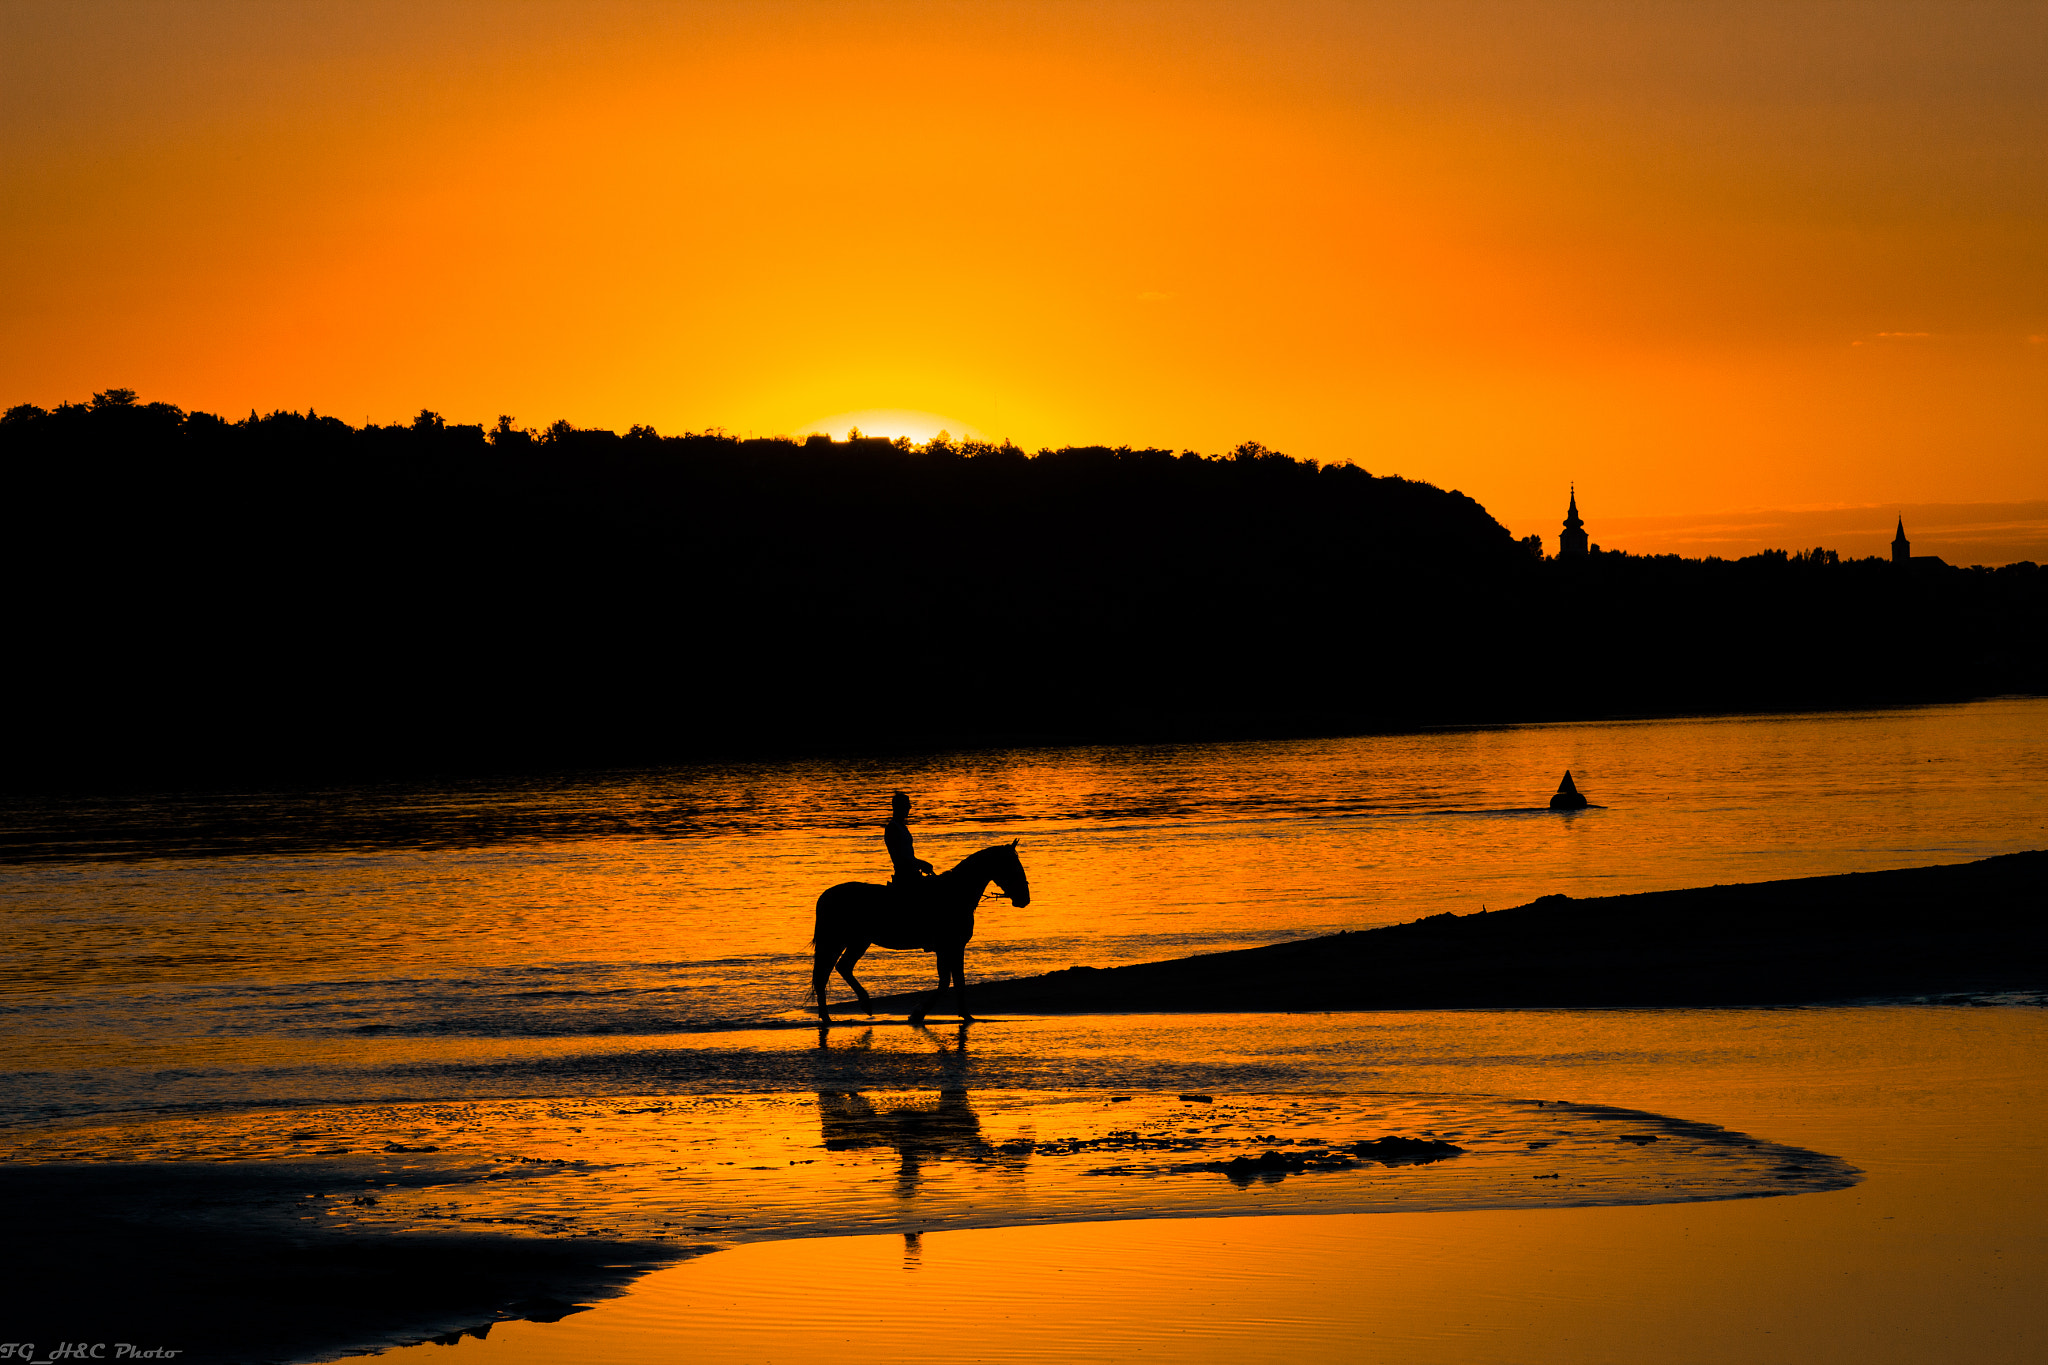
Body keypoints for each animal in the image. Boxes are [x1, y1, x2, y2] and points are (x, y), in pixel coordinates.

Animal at [811, 843, 1032, 1023]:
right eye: (1012, 866)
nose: (1024, 898)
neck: (955, 893)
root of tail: (825, 896)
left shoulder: (952, 947)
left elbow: (955, 981)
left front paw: (963, 1015)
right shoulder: (948, 946)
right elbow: (948, 982)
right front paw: (920, 1013)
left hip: (858, 941)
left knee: (841, 968)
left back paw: (854, 1008)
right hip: (839, 941)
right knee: (825, 974)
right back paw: (832, 1016)